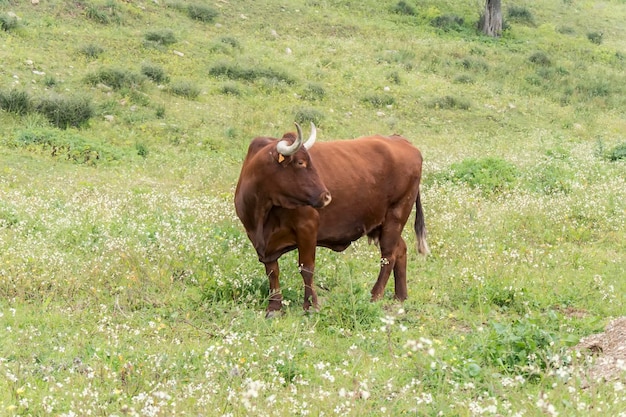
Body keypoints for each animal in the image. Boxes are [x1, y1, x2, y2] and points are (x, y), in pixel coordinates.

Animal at [234, 122, 428, 316]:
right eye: (300, 162)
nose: (326, 196)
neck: (262, 212)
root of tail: (401, 140)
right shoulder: (259, 241)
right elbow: (272, 271)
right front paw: (274, 307)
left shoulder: (307, 228)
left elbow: (306, 268)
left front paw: (311, 306)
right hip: (381, 223)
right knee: (400, 249)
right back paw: (400, 296)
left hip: (396, 215)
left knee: (388, 256)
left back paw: (375, 296)